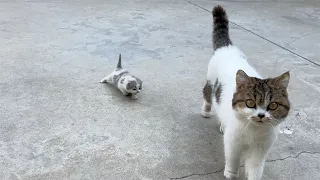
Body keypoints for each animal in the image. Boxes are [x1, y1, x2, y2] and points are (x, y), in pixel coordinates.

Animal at [201, 4, 292, 179]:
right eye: (250, 103)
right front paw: (231, 173)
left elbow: (255, 168)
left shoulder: (260, 149)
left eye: (273, 105)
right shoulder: (233, 142)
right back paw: (206, 111)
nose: (261, 115)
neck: (254, 132)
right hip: (210, 83)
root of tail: (227, 48)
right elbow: (233, 158)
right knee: (207, 96)